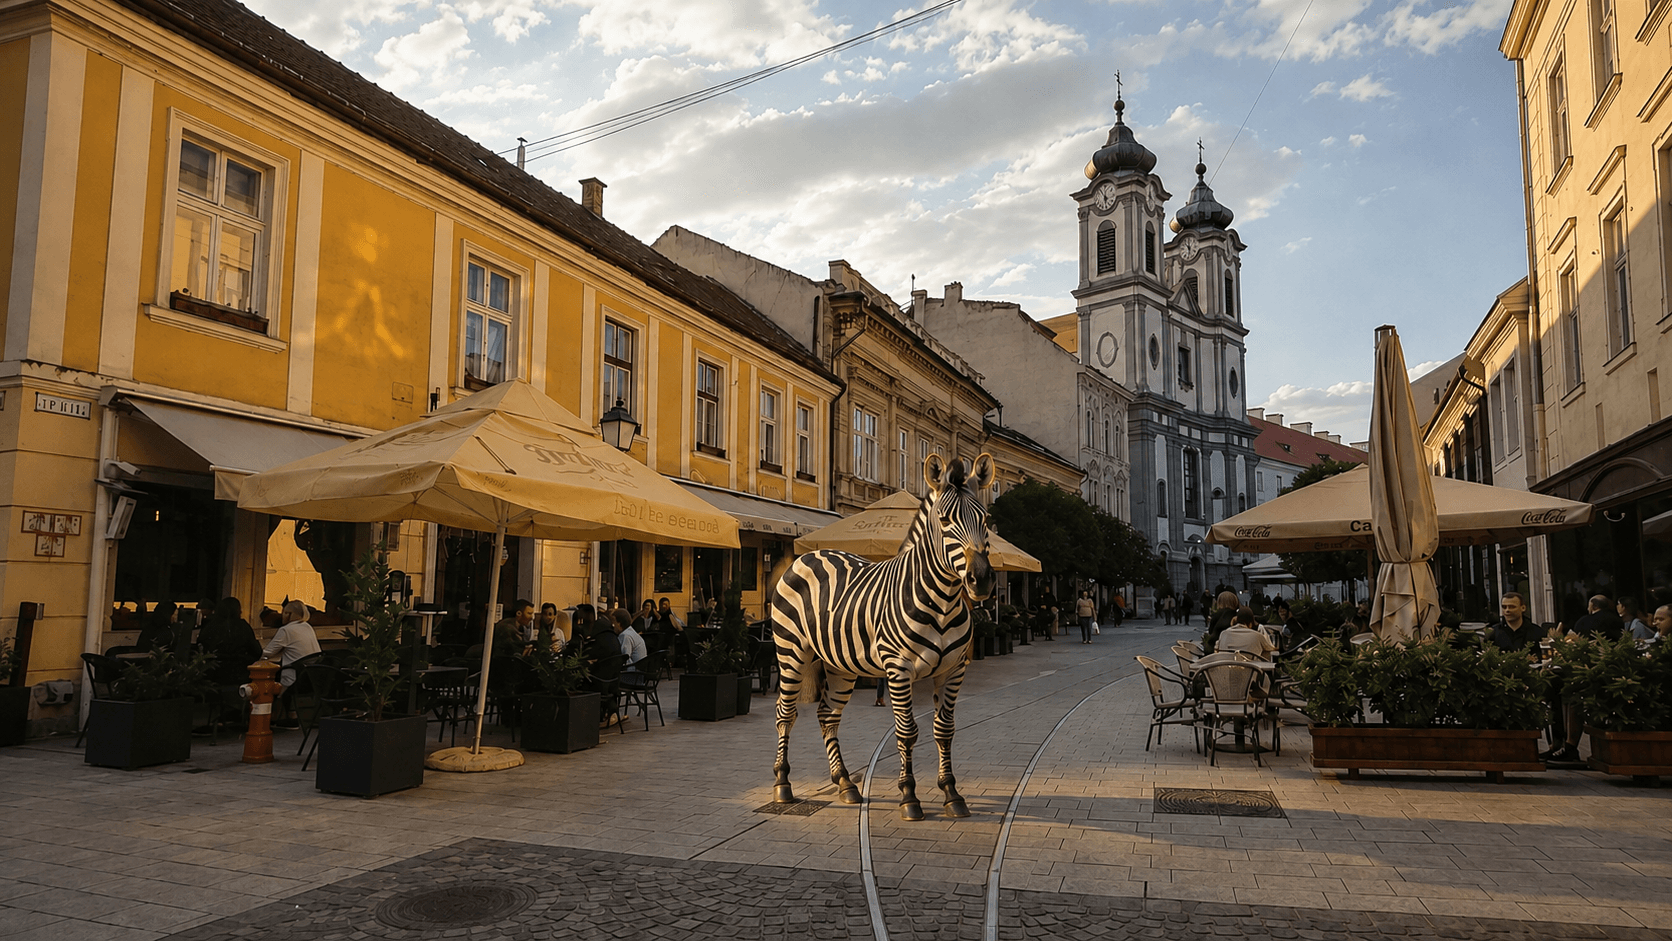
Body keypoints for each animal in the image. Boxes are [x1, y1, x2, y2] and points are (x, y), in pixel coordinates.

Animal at [771, 452, 996, 821]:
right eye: (945, 520)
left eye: (986, 519)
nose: (982, 580)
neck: (944, 601)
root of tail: (809, 555)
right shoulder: (898, 669)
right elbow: (907, 732)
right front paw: (909, 797)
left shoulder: (953, 670)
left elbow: (944, 729)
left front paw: (951, 793)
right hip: (791, 652)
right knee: (785, 713)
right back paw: (782, 784)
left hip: (840, 665)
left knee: (827, 715)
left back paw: (845, 783)